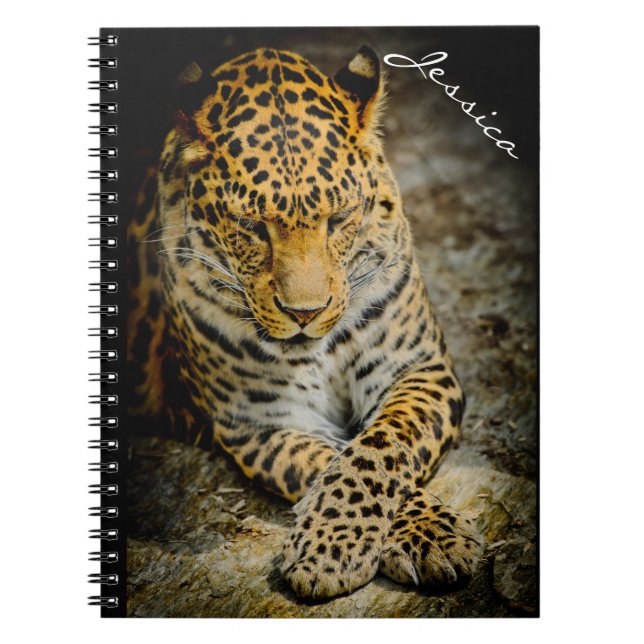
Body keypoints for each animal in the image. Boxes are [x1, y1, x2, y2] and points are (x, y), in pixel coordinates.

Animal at [127, 45, 484, 599]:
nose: (305, 313)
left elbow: (376, 449)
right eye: (251, 226)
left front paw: (428, 535)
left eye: (338, 219)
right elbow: (331, 460)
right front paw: (339, 548)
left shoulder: (418, 369)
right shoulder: (262, 422)